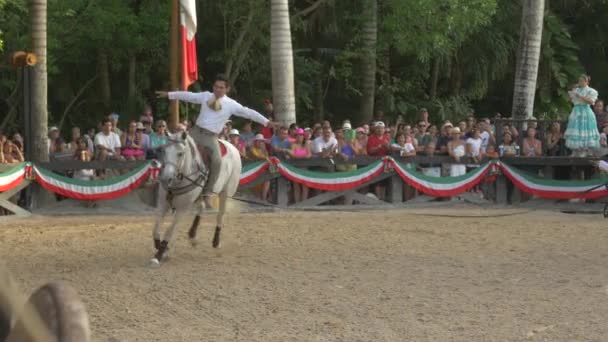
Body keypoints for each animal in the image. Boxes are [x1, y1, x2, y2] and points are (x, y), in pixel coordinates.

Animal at [151, 131, 241, 264]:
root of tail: (232, 146)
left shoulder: (182, 209)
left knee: (220, 215)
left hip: (226, 192)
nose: (165, 179)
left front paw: (159, 254)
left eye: (180, 153)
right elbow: (156, 228)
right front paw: (162, 248)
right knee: (201, 207)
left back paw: (216, 241)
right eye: (164, 151)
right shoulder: (162, 204)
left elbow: (169, 230)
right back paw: (192, 235)